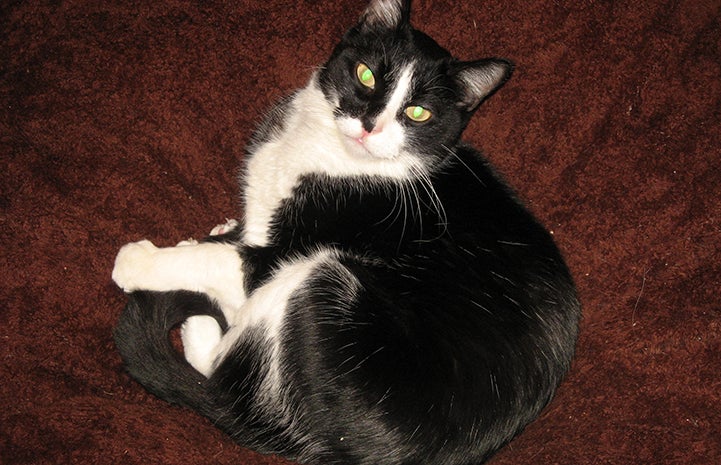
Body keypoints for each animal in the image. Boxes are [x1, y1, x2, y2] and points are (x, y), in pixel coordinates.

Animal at [114, 0, 584, 464]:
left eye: (418, 112)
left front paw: (139, 261)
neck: (334, 158)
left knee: (219, 363)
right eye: (366, 74)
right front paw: (225, 227)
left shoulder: (281, 257)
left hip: (323, 284)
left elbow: (220, 260)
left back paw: (197, 323)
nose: (370, 124)